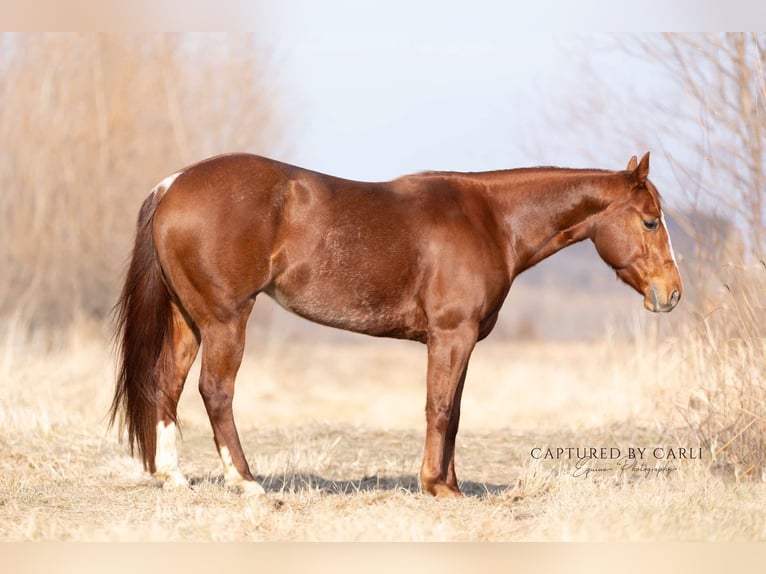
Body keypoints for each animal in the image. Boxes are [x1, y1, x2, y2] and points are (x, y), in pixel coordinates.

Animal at [109, 152, 684, 500]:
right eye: (651, 220)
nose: (672, 294)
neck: (491, 221)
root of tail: (171, 185)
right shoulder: (452, 335)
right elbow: (440, 407)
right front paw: (437, 487)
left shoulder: (462, 341)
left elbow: (454, 413)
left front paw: (450, 484)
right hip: (226, 320)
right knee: (215, 390)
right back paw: (246, 482)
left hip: (189, 319)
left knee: (168, 384)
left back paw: (175, 477)